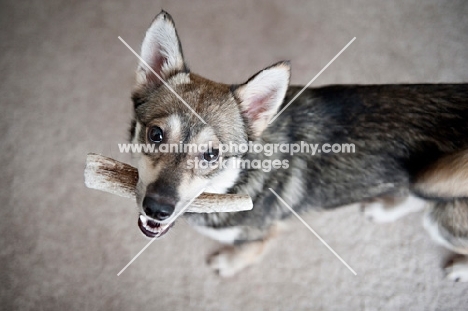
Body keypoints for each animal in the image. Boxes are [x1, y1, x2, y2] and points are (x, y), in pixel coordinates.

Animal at [128, 11, 468, 282]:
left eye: (211, 154)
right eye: (155, 135)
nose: (157, 209)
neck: (236, 181)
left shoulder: (263, 234)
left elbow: (251, 251)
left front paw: (229, 263)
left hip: (449, 218)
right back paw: (385, 210)